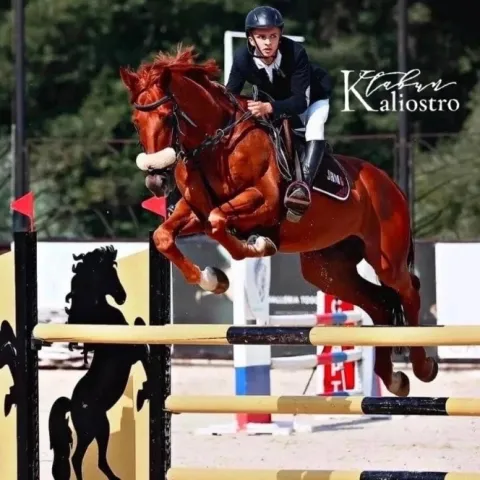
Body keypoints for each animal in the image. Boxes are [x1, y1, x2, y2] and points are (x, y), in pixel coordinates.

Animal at [48, 246, 153, 480]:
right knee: (80, 458)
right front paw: (146, 390)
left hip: (98, 429)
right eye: (108, 274)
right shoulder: (132, 352)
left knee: (93, 460)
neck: (101, 315)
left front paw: (143, 393)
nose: (122, 296)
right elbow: (142, 335)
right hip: (95, 430)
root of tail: (72, 403)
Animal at [119, 45, 438, 397]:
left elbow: (220, 223)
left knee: (408, 290)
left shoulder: (264, 202)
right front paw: (213, 279)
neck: (218, 144)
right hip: (328, 269)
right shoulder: (192, 212)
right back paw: (394, 378)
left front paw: (259, 245)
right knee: (379, 304)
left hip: (386, 258)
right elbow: (166, 236)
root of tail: (390, 184)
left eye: (166, 116)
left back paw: (423, 367)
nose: (156, 181)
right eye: (136, 121)